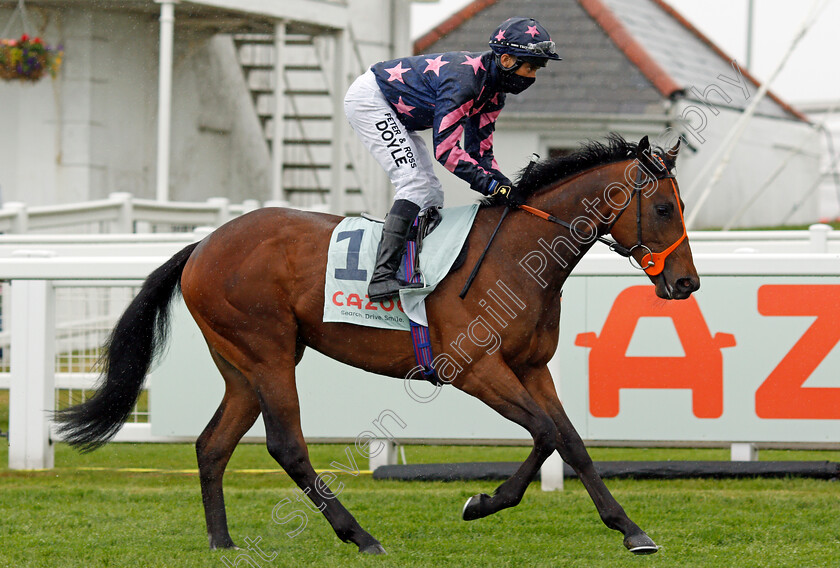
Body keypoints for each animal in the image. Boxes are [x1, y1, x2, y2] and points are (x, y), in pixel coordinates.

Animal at [57, 134, 696, 556]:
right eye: (665, 207)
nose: (686, 283)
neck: (518, 257)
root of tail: (203, 244)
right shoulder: (473, 368)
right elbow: (543, 434)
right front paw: (480, 502)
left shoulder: (532, 367)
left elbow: (572, 442)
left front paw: (630, 529)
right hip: (267, 353)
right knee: (286, 445)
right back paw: (359, 535)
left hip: (242, 365)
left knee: (212, 445)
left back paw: (222, 541)